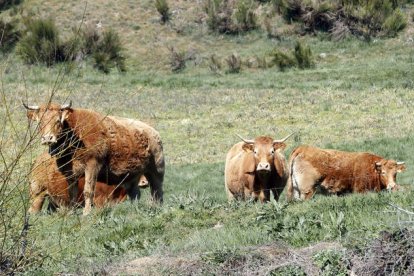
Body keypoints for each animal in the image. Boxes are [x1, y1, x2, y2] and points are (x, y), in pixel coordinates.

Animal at [23, 101, 164, 216]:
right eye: (40, 122)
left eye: (58, 121)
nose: (48, 138)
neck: (75, 132)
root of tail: (153, 132)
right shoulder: (70, 173)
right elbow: (72, 193)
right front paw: (71, 211)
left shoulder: (92, 165)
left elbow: (88, 190)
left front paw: (86, 212)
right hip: (132, 175)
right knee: (135, 193)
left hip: (156, 170)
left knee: (157, 190)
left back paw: (157, 208)